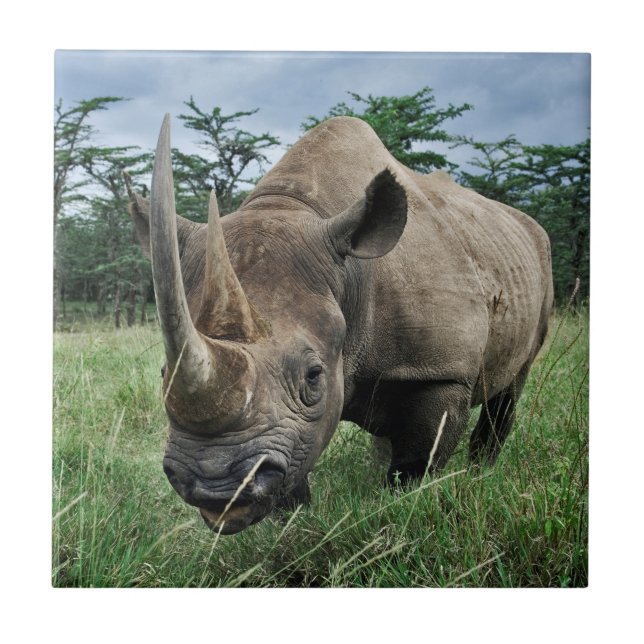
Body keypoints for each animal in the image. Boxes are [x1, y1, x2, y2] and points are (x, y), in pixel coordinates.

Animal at [126, 114, 553, 534]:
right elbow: (296, 468)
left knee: (511, 386)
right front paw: (294, 525)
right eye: (163, 374)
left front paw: (401, 508)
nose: (214, 486)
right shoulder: (293, 426)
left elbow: (416, 464)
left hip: (535, 257)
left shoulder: (441, 372)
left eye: (313, 375)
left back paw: (481, 474)